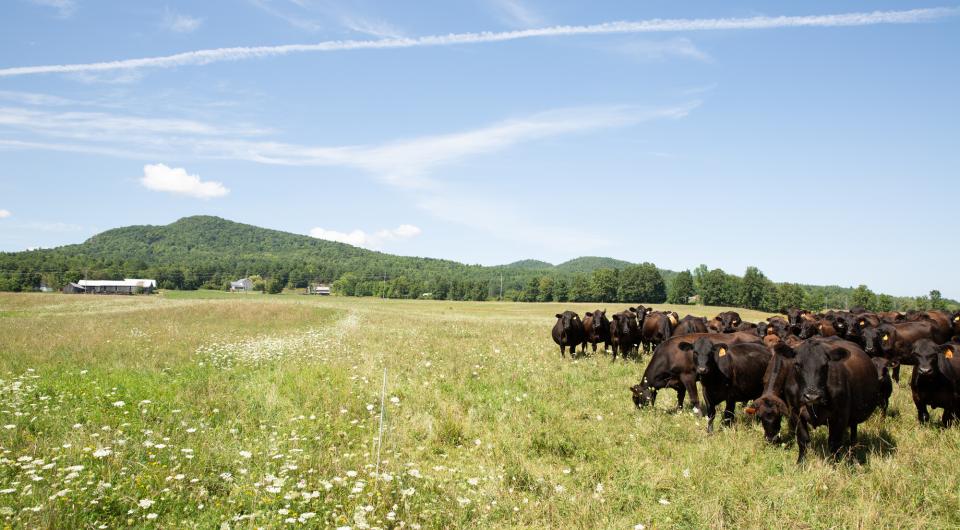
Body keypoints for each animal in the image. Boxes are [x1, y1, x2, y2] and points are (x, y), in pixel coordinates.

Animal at [630, 331, 762, 412]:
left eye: (636, 398)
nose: (638, 411)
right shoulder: (679, 381)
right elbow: (680, 397)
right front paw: (679, 411)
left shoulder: (688, 376)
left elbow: (694, 398)